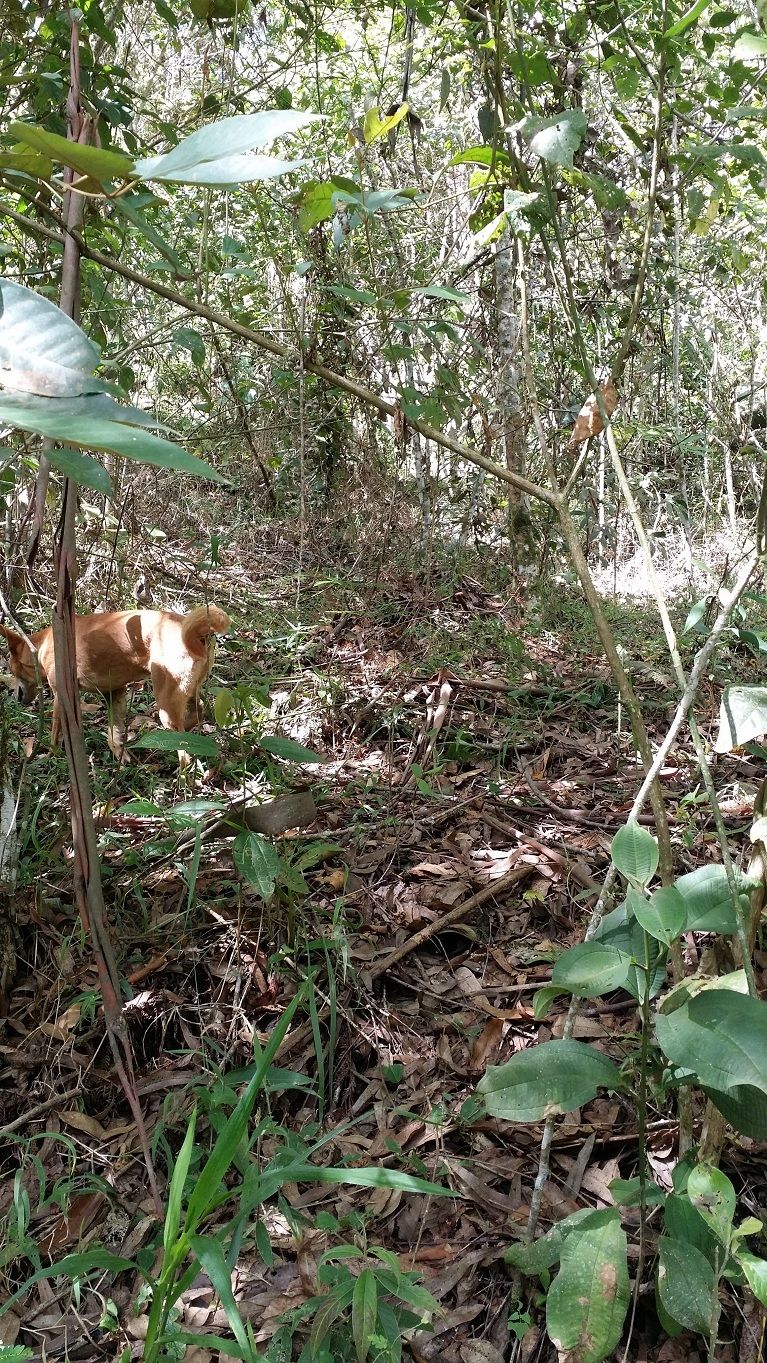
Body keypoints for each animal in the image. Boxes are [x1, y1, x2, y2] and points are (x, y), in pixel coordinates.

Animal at [0, 605, 230, 763]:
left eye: (10, 668)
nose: (14, 697)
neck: (44, 645)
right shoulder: (115, 692)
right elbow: (113, 732)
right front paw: (121, 754)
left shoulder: (60, 695)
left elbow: (55, 734)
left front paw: (49, 755)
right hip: (188, 691)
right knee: (198, 712)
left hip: (166, 703)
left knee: (185, 753)